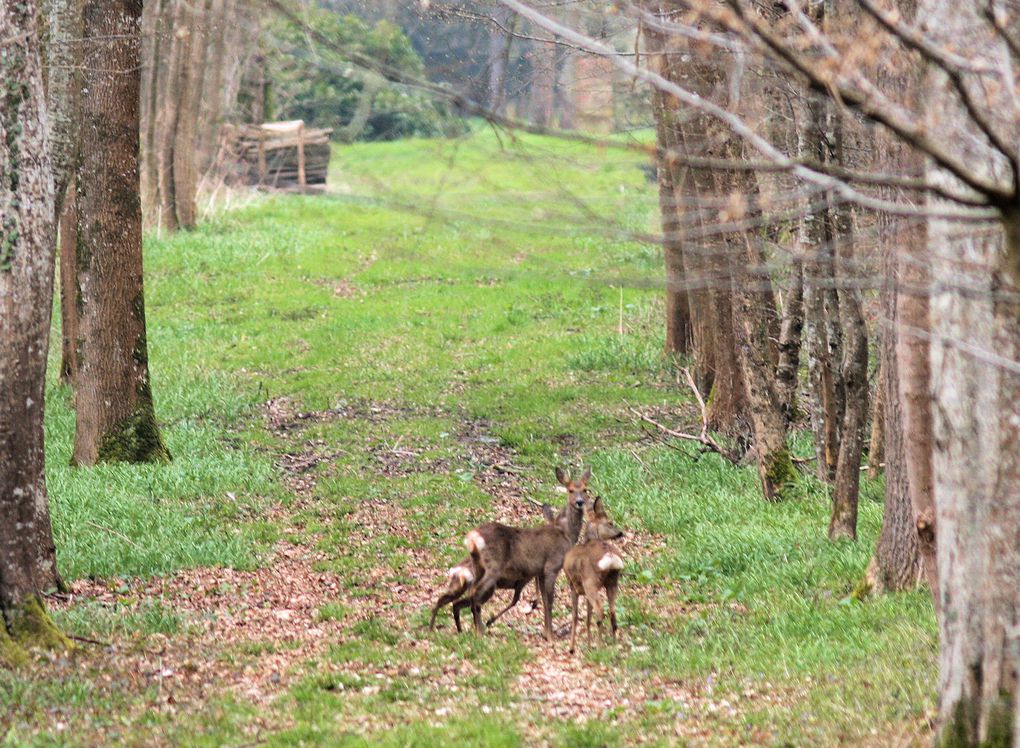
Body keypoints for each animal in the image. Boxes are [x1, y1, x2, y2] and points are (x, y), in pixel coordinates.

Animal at [430, 502, 558, 628]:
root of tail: (458, 570)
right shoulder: (522, 580)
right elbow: (515, 601)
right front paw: (490, 620)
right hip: (485, 587)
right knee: (459, 602)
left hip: (462, 586)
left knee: (452, 602)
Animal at [463, 467, 591, 636]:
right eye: (570, 490)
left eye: (585, 489)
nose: (579, 502)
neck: (565, 534)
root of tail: (472, 538)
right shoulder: (552, 566)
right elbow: (550, 600)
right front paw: (550, 635)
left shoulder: (541, 571)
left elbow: (544, 600)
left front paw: (546, 631)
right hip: (493, 566)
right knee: (475, 593)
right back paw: (480, 631)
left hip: (479, 566)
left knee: (472, 591)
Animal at [563, 495, 624, 653]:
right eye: (610, 522)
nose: (620, 532)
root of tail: (610, 557)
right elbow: (588, 616)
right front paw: (589, 645)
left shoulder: (574, 586)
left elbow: (575, 615)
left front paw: (572, 647)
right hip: (612, 582)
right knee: (612, 612)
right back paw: (613, 644)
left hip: (591, 582)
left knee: (600, 611)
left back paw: (600, 646)